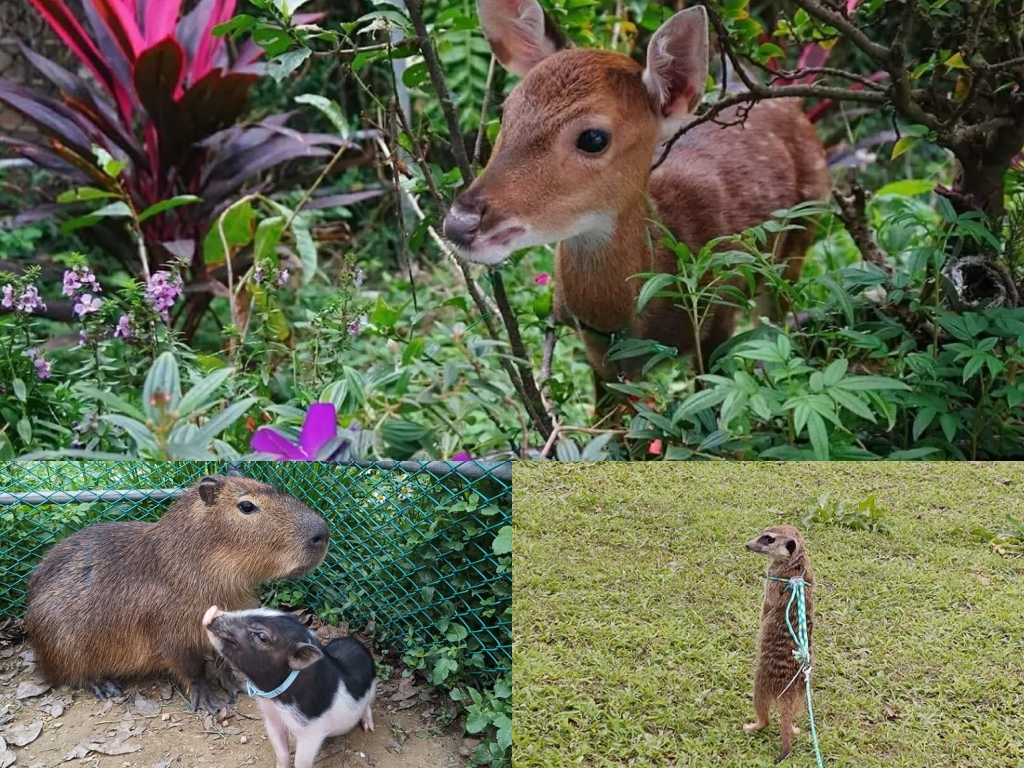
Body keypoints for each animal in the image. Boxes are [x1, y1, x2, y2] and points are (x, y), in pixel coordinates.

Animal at [444, 0, 827, 409]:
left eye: (594, 138)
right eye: (505, 110)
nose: (460, 222)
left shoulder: (719, 317)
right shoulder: (600, 355)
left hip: (801, 235)